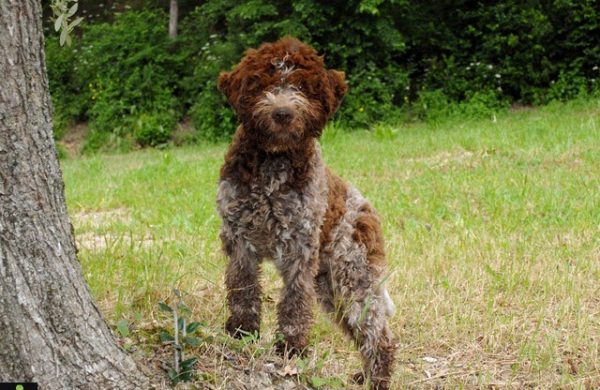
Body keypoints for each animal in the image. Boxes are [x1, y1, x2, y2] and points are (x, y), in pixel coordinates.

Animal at [218, 37, 396, 390]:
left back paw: (377, 378)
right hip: (330, 287)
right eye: (264, 84)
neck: (273, 162)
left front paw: (291, 347)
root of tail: (367, 208)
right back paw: (365, 375)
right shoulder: (239, 237)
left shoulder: (299, 247)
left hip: (354, 276)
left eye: (301, 86)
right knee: (361, 329)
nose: (283, 113)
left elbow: (294, 301)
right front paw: (242, 330)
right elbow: (242, 287)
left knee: (378, 332)